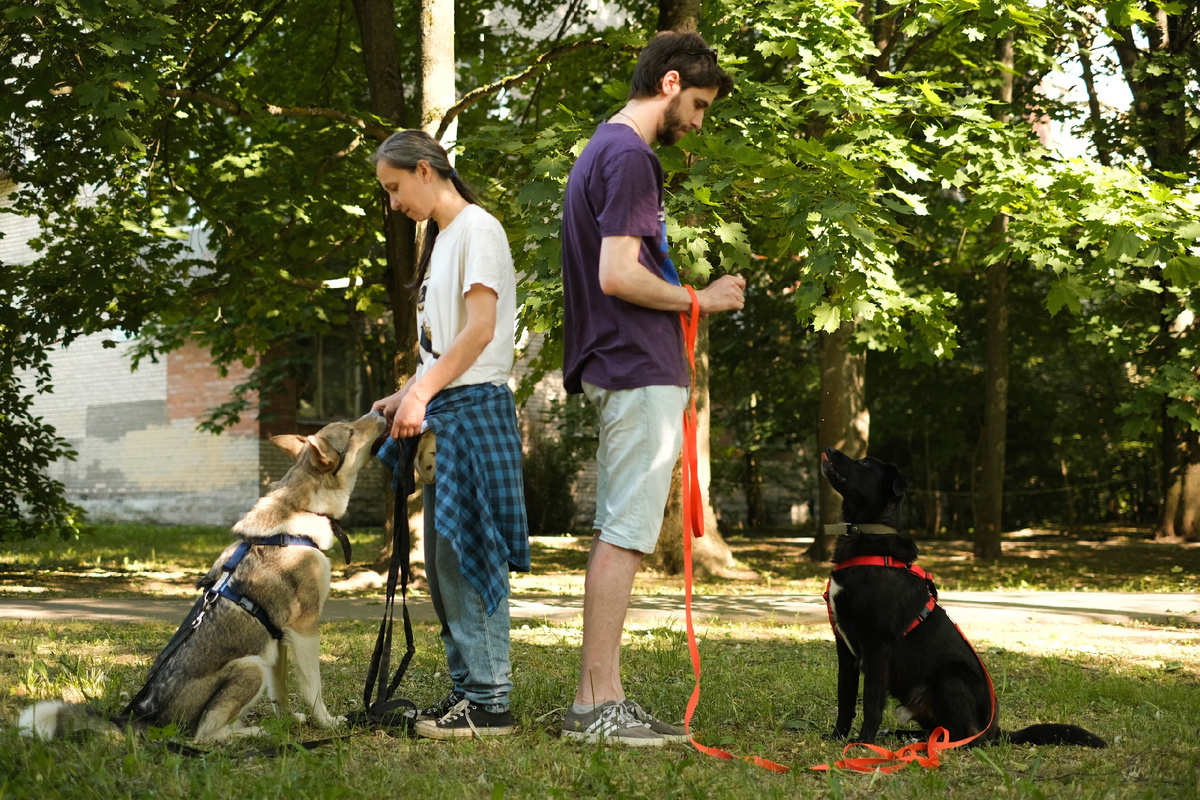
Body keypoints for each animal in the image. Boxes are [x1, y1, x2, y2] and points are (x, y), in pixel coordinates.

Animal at [18, 410, 386, 743]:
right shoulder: (304, 629)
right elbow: (313, 689)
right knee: (202, 736)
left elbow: (281, 693)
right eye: (351, 431)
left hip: (259, 661)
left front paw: (288, 722)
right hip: (250, 666)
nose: (381, 410)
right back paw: (251, 733)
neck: (302, 513)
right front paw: (327, 725)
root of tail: (145, 719)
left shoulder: (278, 640)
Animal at [820, 450, 1099, 753]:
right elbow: (845, 699)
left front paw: (863, 744)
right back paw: (911, 737)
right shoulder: (845, 647)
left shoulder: (877, 646)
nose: (830, 450)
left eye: (864, 463)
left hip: (950, 678)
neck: (867, 537)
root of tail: (996, 730)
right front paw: (837, 737)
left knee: (966, 736)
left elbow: (871, 702)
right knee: (941, 730)